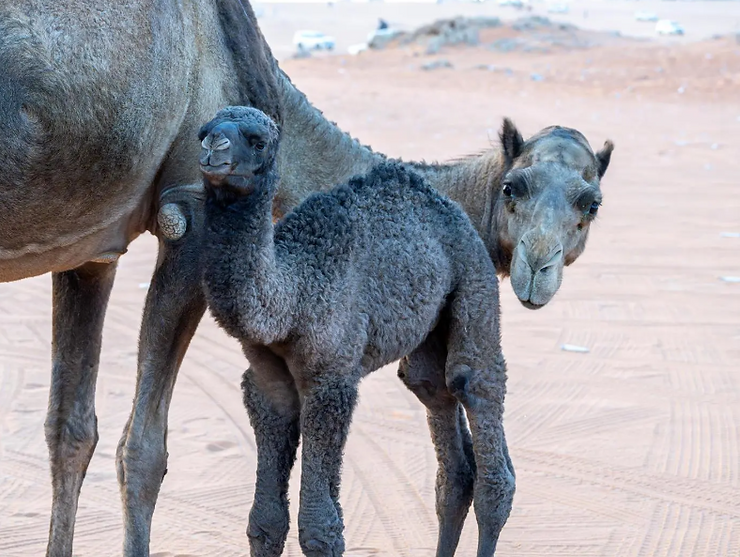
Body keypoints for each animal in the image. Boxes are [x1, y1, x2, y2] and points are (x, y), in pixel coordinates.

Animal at [1, 0, 613, 555]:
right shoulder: (188, 210)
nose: (538, 269)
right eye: (513, 188)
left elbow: (70, 432)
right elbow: (143, 449)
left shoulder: (88, 248)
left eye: (592, 204)